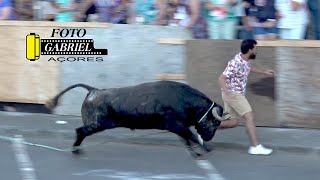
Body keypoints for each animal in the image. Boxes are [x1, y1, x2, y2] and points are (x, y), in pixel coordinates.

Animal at [46, 81, 224, 157]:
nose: (209, 137)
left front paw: (197, 152)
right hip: (97, 124)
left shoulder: (178, 127)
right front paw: (207, 149)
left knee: (80, 132)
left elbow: (187, 139)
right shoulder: (175, 124)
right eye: (215, 122)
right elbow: (190, 136)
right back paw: (76, 150)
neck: (184, 100)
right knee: (80, 131)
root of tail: (93, 90)